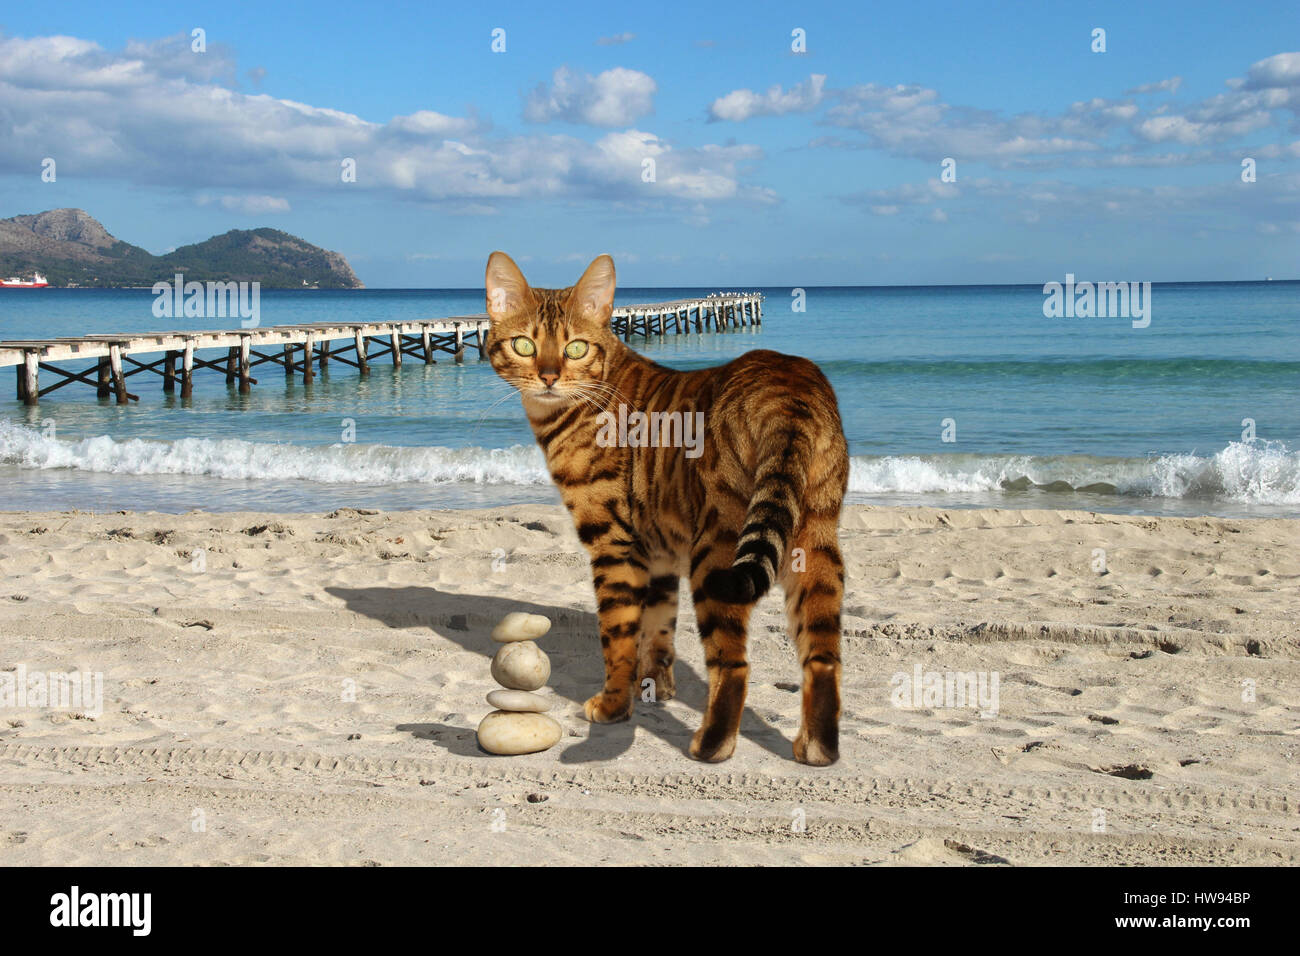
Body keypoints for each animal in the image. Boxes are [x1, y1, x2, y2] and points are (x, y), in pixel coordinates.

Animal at [483, 251, 847, 764]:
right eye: (523, 345)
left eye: (575, 349)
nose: (549, 376)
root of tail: (787, 386)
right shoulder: (656, 551)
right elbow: (656, 629)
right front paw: (654, 687)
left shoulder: (614, 545)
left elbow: (618, 638)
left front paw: (615, 704)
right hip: (815, 543)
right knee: (823, 655)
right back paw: (818, 747)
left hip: (717, 551)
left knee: (734, 664)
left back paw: (711, 745)